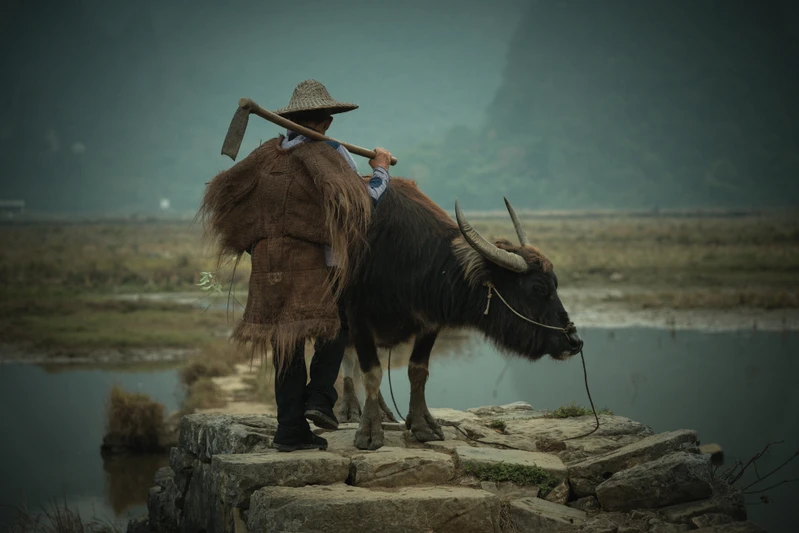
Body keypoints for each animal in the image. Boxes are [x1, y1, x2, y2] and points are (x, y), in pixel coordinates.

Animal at [338, 178, 582, 450]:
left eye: (556, 283)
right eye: (538, 288)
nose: (574, 341)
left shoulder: (430, 323)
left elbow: (417, 371)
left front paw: (423, 425)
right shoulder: (358, 318)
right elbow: (372, 373)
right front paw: (369, 432)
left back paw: (383, 412)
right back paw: (346, 410)